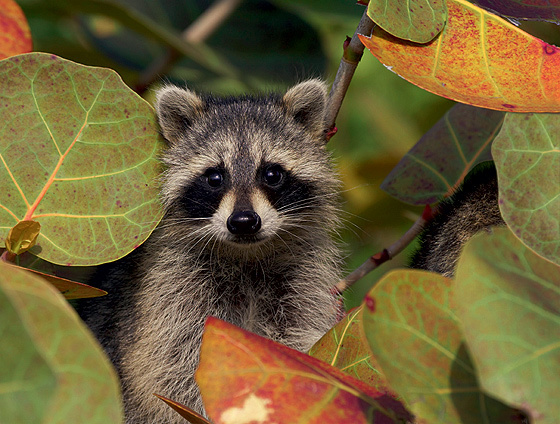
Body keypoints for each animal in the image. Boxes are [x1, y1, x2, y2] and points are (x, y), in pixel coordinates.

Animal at [79, 80, 342, 424]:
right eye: (215, 177)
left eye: (272, 174)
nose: (244, 222)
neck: (246, 256)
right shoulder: (172, 292)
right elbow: (170, 370)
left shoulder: (302, 282)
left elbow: (298, 340)